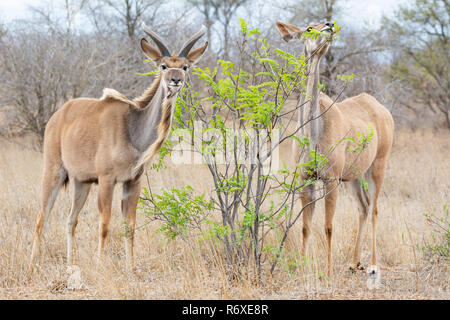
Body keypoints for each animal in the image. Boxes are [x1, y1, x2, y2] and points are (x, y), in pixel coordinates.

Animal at [29, 22, 209, 270]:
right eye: (163, 66)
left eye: (185, 67)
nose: (176, 80)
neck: (132, 128)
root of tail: (57, 116)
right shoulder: (106, 181)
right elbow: (104, 225)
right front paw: (99, 265)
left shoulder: (132, 182)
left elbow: (129, 227)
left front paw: (130, 268)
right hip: (54, 173)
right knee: (41, 219)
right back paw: (31, 266)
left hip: (81, 183)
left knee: (70, 219)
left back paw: (70, 264)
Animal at [276, 21, 396, 276]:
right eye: (309, 28)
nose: (329, 25)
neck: (313, 131)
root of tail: (383, 110)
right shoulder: (306, 179)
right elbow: (305, 226)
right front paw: (302, 269)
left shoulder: (331, 179)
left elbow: (328, 226)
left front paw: (329, 272)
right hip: (354, 177)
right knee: (364, 207)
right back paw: (354, 262)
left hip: (377, 166)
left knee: (375, 209)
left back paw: (372, 264)